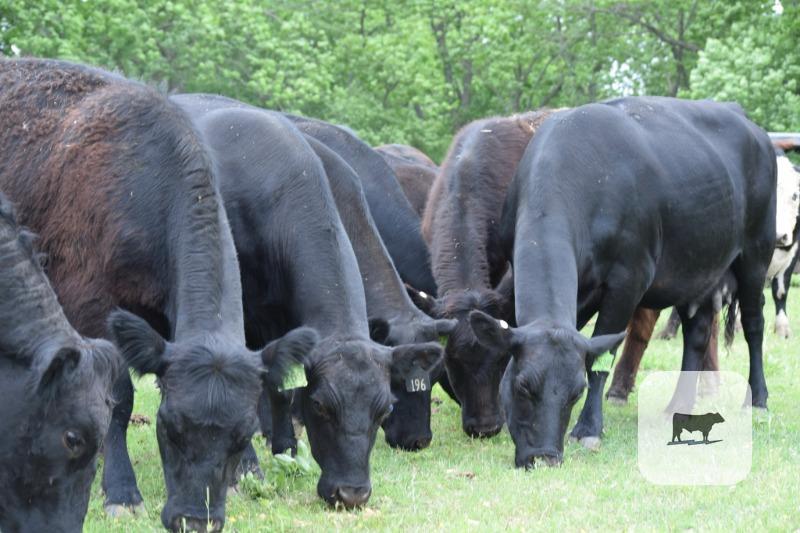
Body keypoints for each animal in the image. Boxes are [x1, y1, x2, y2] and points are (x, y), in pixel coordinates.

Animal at [469, 97, 775, 468]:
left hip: (757, 252)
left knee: (754, 325)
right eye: (523, 386)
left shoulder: (629, 280)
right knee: (698, 334)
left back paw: (757, 400)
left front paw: (588, 428)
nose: (545, 457)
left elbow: (600, 359)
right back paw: (678, 407)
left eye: (576, 392)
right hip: (701, 267)